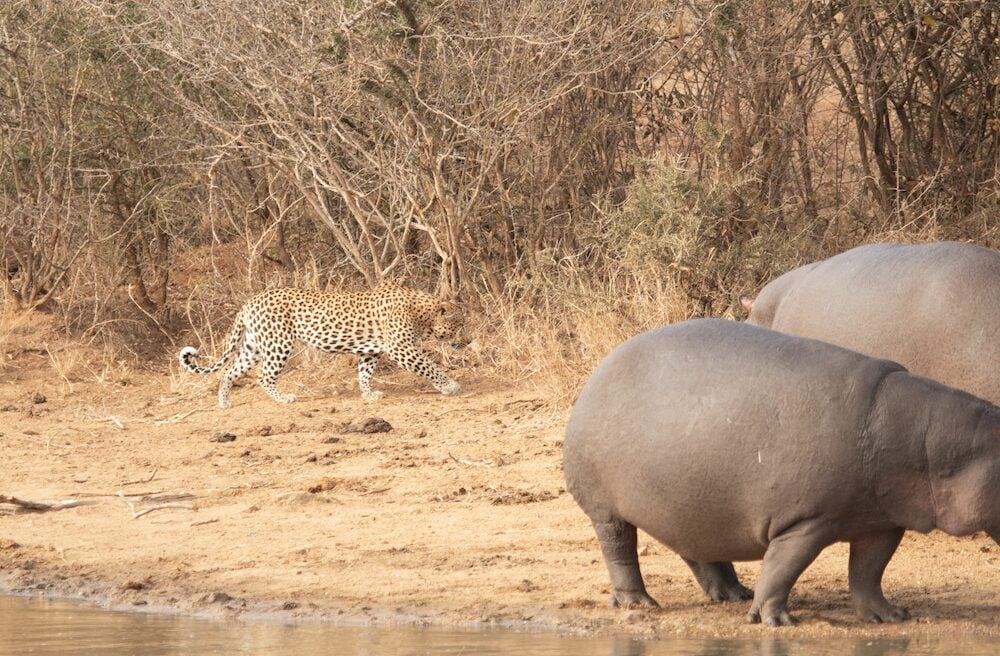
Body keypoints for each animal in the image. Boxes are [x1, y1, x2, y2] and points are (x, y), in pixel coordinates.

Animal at [178, 281, 465, 409]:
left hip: (254, 346)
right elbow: (429, 366)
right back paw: (284, 398)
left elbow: (364, 374)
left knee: (229, 372)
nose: (468, 339)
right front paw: (450, 386)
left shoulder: (371, 351)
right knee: (264, 376)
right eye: (460, 324)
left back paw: (224, 402)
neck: (422, 313)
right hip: (278, 343)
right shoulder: (401, 348)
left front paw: (368, 394)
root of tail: (250, 302)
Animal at [563, 318, 1000, 626]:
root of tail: (599, 371)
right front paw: (775, 621)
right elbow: (782, 569)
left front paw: (889, 616)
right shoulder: (806, 521)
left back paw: (734, 594)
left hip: (689, 504)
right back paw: (640, 603)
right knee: (619, 549)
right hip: (605, 509)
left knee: (699, 551)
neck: (935, 443)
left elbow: (868, 571)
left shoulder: (882, 521)